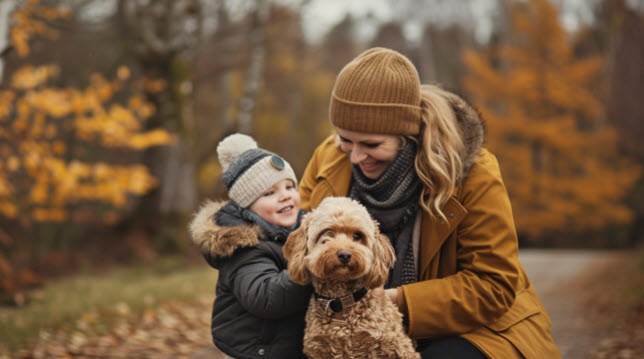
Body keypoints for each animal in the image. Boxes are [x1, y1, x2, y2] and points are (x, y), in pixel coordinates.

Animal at [284, 197, 420, 359]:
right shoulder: (320, 349)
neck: (340, 300)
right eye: (327, 233)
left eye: (357, 236)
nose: (344, 254)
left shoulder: (397, 345)